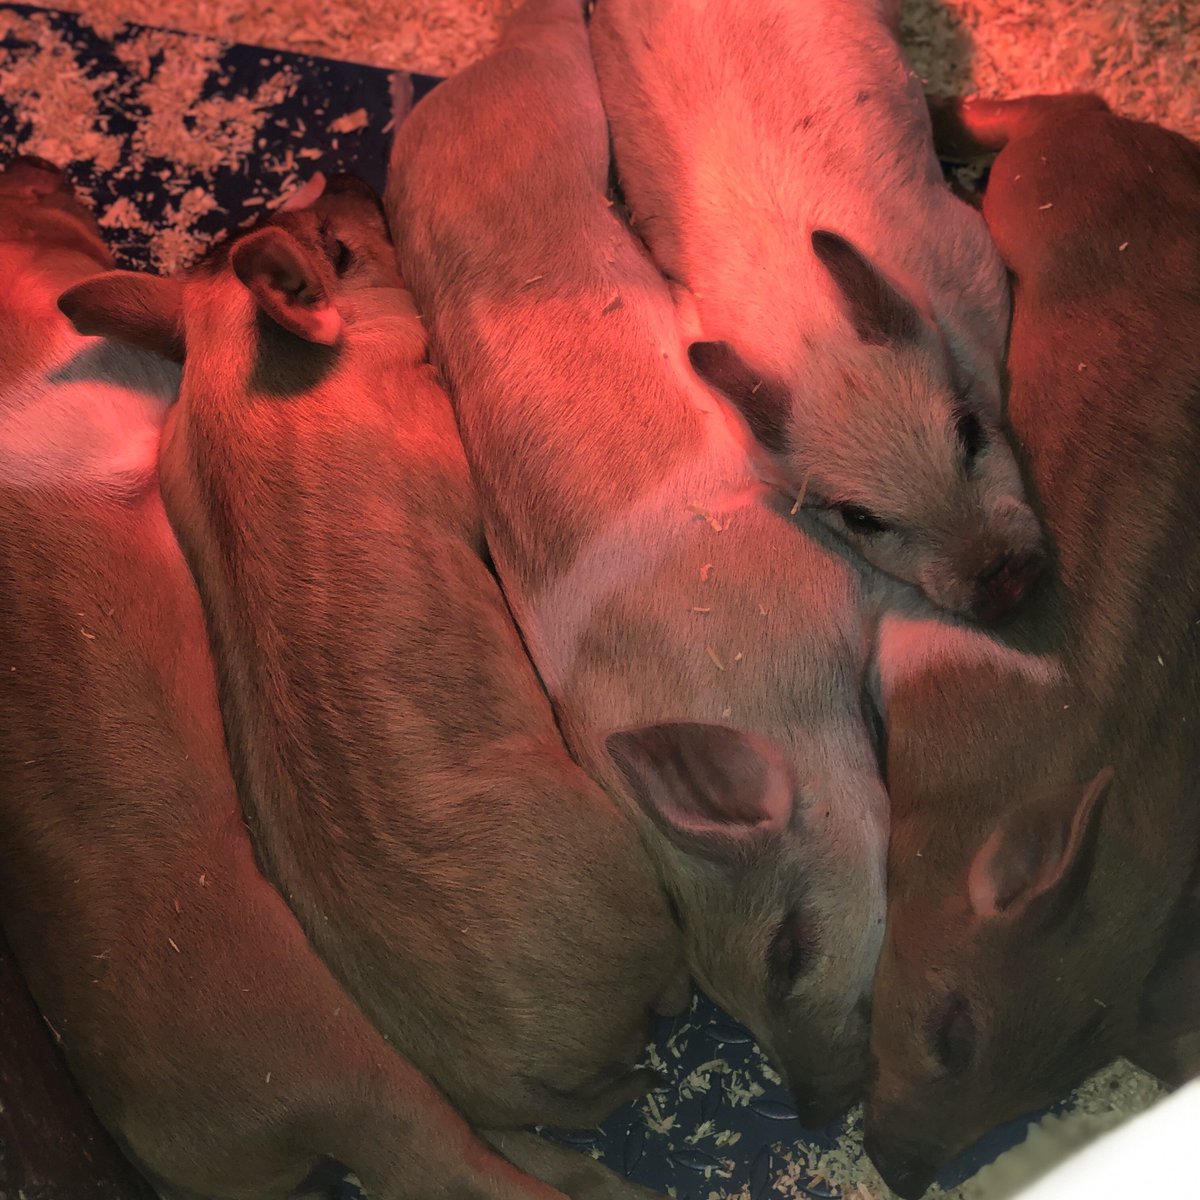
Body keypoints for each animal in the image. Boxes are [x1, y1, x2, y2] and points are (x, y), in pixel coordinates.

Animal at [387, 0, 891, 1124]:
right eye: (726, 992)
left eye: (789, 949)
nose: (821, 1109)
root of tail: (450, 92)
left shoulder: (823, 579)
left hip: (556, 108)